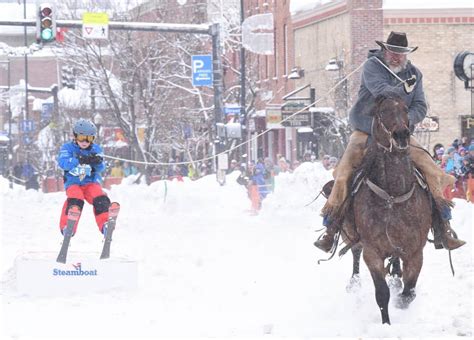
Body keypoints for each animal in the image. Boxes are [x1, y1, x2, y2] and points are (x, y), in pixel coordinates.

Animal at [340, 92, 434, 324]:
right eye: (382, 111)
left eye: (405, 110)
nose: (401, 135)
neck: (392, 195)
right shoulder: (372, 252)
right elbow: (382, 293)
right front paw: (386, 324)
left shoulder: (415, 252)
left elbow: (409, 292)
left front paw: (401, 298)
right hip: (351, 234)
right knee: (355, 251)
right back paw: (354, 283)